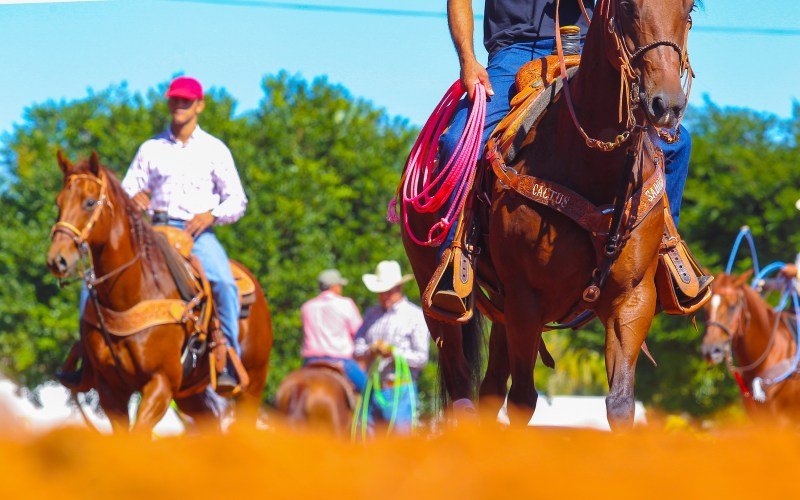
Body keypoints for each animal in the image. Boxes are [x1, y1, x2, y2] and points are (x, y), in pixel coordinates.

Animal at [47, 152, 274, 434]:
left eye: (89, 202)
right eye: (59, 202)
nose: (57, 259)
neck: (133, 294)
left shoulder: (160, 383)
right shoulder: (111, 390)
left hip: (251, 386)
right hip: (190, 395)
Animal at [404, 0, 696, 430]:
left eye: (688, 11)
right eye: (627, 7)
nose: (666, 104)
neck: (592, 167)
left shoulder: (633, 297)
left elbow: (620, 403)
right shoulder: (527, 298)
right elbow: (523, 400)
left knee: (489, 390)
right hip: (443, 302)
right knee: (461, 386)